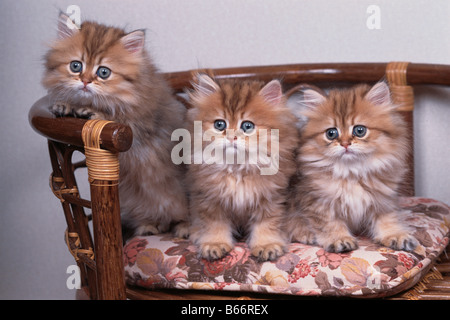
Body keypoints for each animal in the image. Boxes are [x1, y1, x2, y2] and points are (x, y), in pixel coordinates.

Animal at [42, 13, 188, 238]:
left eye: (104, 72)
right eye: (76, 66)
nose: (85, 81)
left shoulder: (140, 125)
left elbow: (118, 117)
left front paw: (94, 111)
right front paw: (66, 106)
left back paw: (183, 227)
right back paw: (149, 226)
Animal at [186, 75, 298, 262]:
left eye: (247, 126)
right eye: (219, 125)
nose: (232, 137)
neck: (237, 168)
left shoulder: (271, 197)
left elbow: (267, 223)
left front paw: (266, 245)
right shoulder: (209, 198)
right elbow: (214, 223)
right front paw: (214, 243)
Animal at [286, 82, 420, 252]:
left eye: (359, 130)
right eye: (331, 133)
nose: (345, 144)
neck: (351, 172)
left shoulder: (383, 199)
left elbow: (387, 218)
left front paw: (394, 234)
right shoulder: (318, 202)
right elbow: (329, 224)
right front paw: (339, 239)